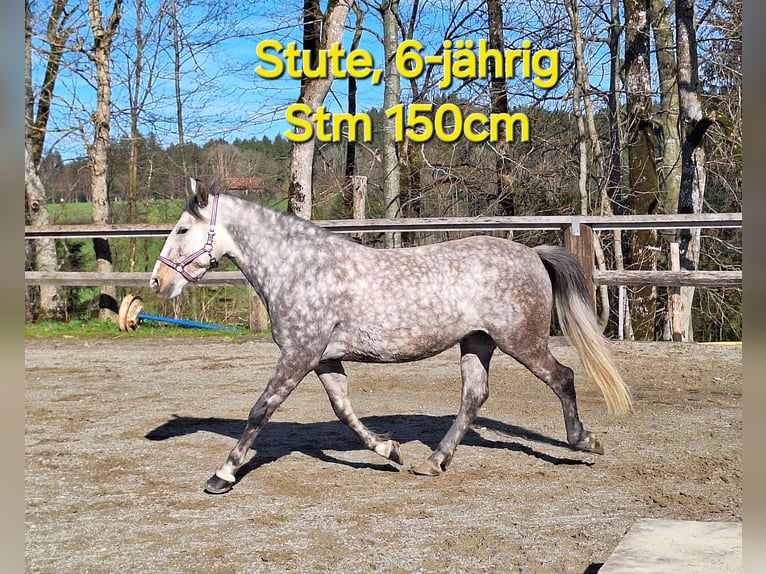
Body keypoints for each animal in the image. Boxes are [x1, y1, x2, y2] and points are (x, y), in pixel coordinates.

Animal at [150, 179, 632, 496]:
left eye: (181, 230)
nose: (157, 282)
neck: (299, 268)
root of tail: (532, 253)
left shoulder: (298, 355)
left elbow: (260, 411)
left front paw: (222, 476)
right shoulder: (322, 359)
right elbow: (344, 410)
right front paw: (390, 450)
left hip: (521, 342)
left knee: (563, 378)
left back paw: (584, 440)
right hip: (477, 342)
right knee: (474, 397)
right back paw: (433, 462)